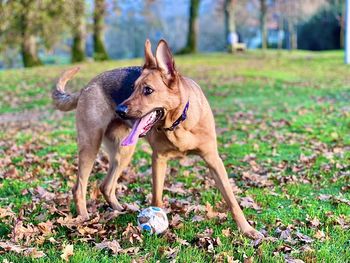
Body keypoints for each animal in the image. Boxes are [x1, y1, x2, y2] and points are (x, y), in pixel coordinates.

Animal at [50, 38, 262, 239]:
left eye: (148, 90)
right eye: (132, 88)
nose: (119, 110)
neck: (178, 123)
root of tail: (87, 85)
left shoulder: (213, 160)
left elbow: (232, 200)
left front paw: (247, 230)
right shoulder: (159, 159)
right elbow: (157, 198)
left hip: (124, 152)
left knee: (106, 186)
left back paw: (119, 210)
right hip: (90, 146)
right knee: (79, 188)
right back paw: (84, 219)